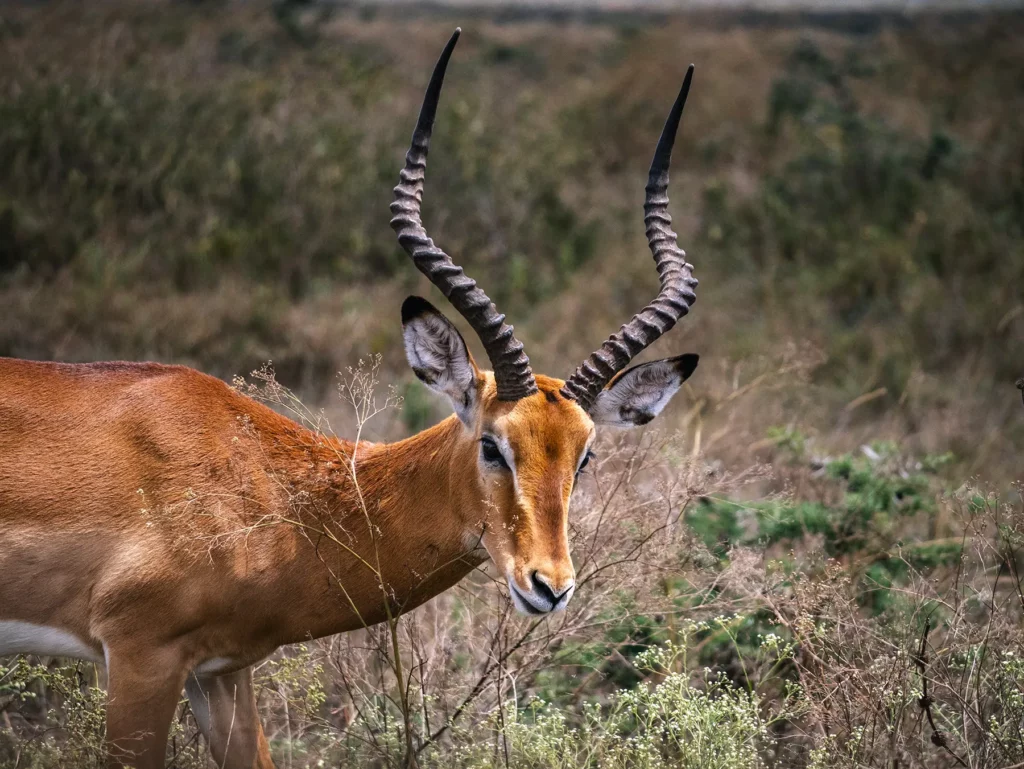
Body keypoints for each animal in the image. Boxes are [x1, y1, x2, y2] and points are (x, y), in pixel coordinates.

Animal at [0, 29, 700, 769]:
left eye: (584, 456)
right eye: (492, 444)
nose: (550, 585)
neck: (263, 482)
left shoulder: (220, 671)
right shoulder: (140, 656)